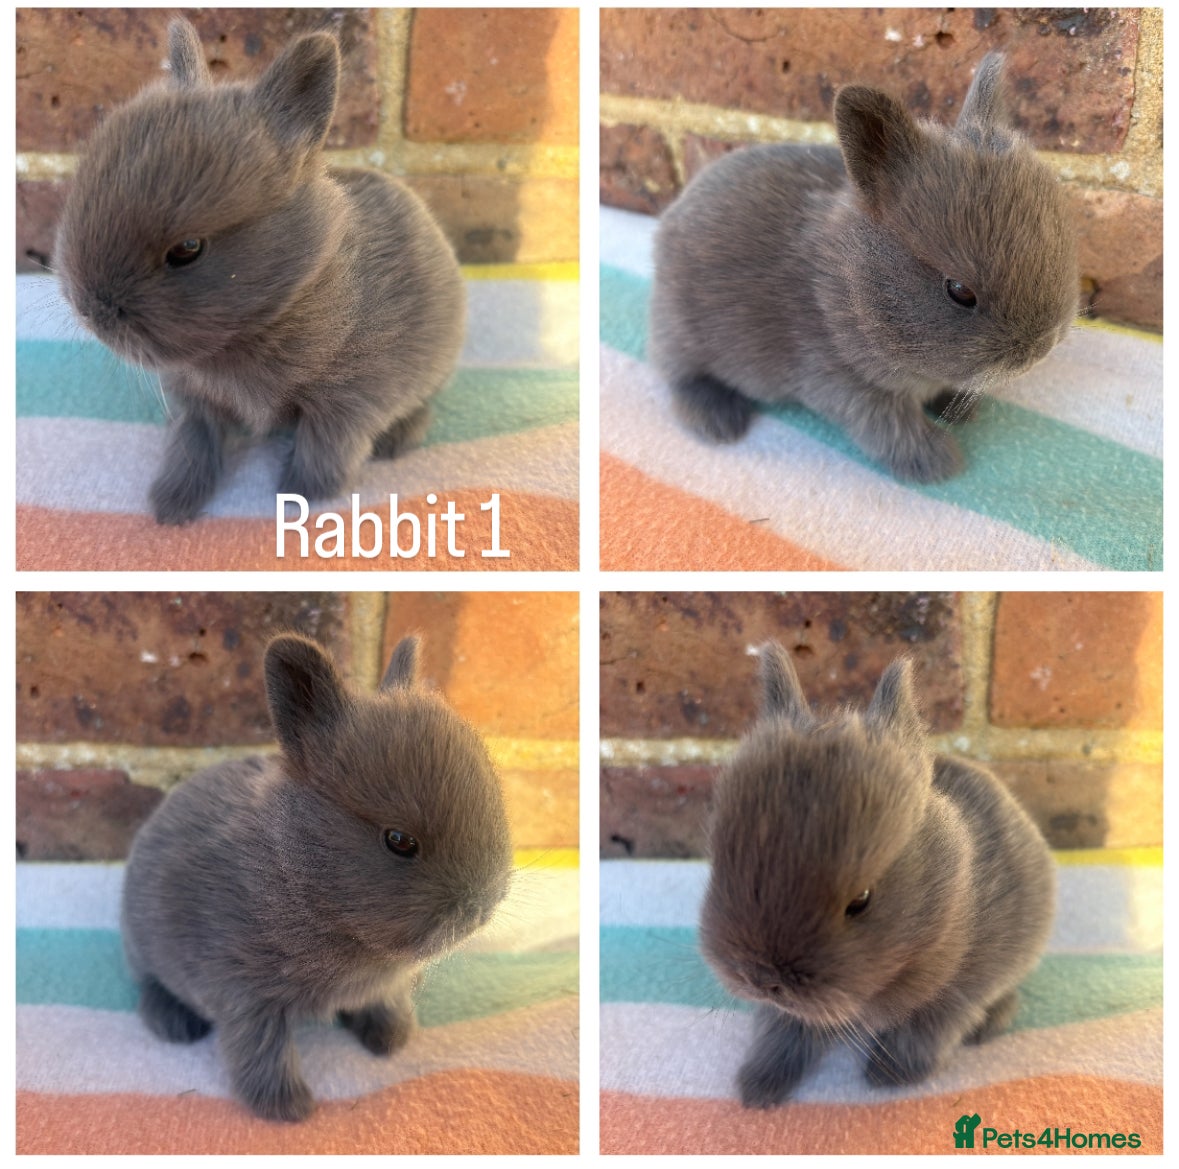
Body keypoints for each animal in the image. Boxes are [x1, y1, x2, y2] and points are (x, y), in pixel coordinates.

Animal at [55, 19, 465, 525]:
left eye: (188, 249)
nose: (89, 309)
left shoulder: (346, 404)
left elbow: (323, 454)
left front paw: (297, 499)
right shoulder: (198, 403)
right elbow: (192, 444)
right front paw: (172, 506)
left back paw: (397, 442)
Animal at [120, 633, 512, 1122]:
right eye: (399, 840)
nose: (482, 908)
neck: (296, 876)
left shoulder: (379, 987)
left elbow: (385, 1003)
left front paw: (392, 1040)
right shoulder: (244, 996)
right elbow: (260, 1051)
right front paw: (288, 1108)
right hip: (144, 946)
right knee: (149, 982)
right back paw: (172, 1024)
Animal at [649, 53, 1079, 482]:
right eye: (959, 291)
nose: (1043, 346)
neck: (849, 285)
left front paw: (961, 411)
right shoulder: (844, 382)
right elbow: (891, 430)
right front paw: (938, 462)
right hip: (681, 334)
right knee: (678, 376)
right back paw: (719, 421)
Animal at [698, 643, 1055, 1109]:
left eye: (861, 900)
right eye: (720, 865)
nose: (760, 979)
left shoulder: (958, 991)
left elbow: (925, 1031)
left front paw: (889, 1075)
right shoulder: (789, 1018)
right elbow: (783, 1034)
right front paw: (758, 1089)